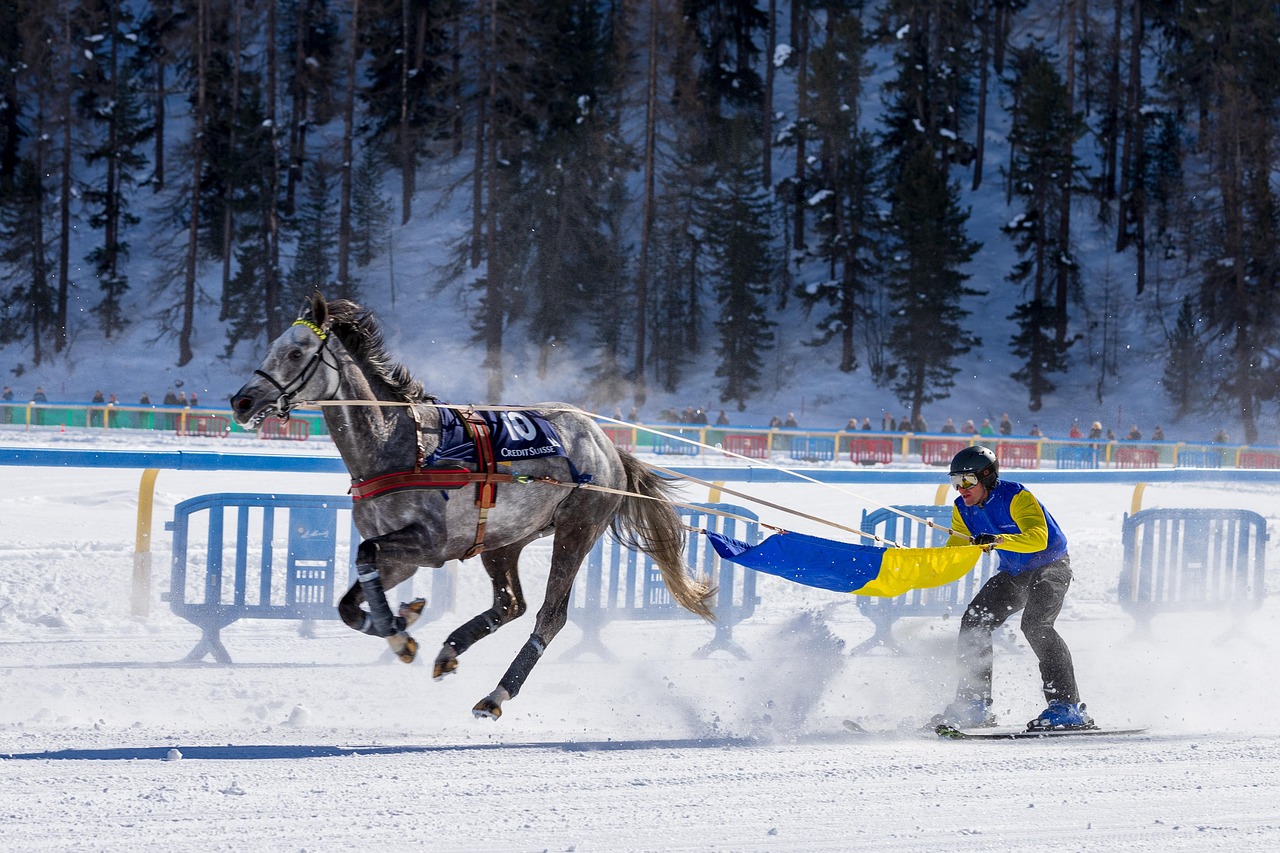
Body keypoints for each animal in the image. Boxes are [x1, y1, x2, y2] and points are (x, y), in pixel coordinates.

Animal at [229, 292, 715, 719]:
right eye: (273, 348)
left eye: (296, 352)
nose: (242, 401)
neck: (403, 445)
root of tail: (609, 446)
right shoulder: (400, 556)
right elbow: (350, 604)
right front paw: (402, 624)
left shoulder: (429, 545)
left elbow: (366, 557)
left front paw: (399, 635)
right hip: (504, 540)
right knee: (510, 604)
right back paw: (450, 648)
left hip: (577, 530)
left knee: (548, 616)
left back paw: (497, 694)